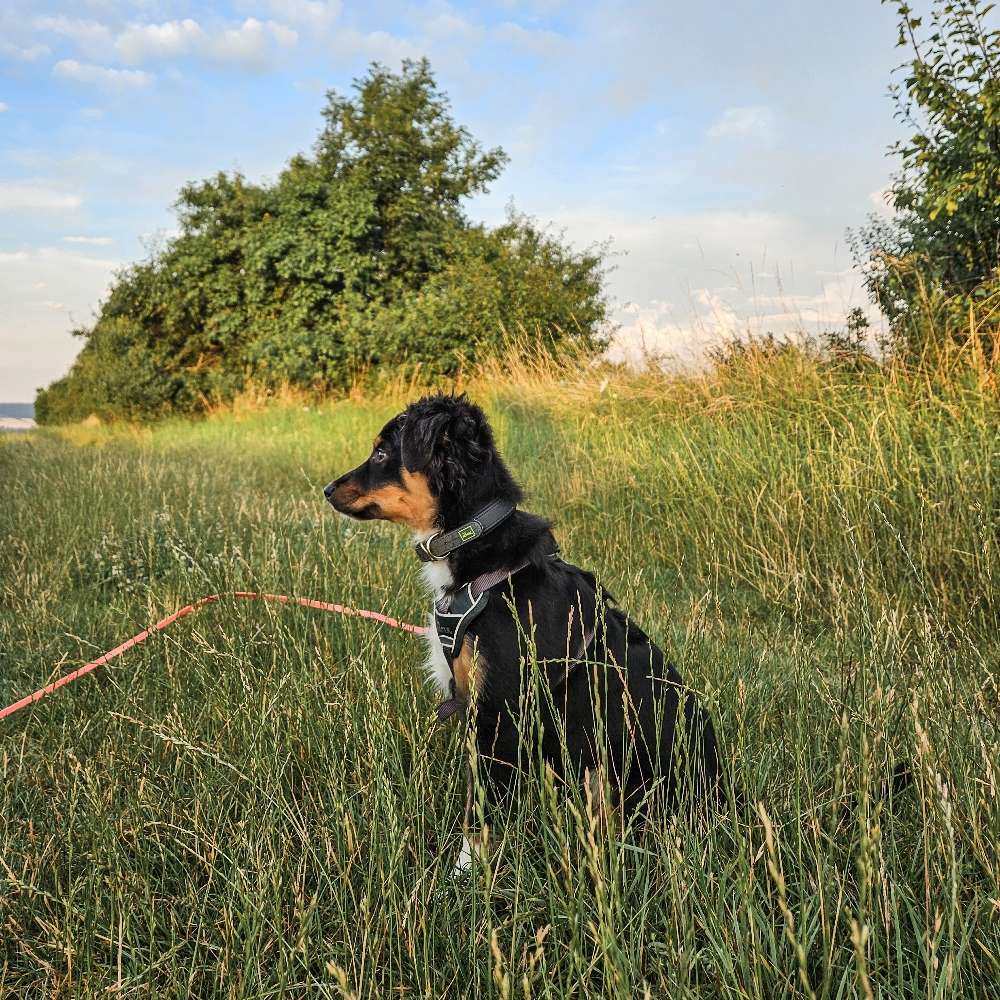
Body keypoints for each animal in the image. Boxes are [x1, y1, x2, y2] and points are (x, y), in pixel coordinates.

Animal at [324, 394, 724, 872]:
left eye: (383, 453)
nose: (326, 489)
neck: (480, 557)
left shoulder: (499, 711)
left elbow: (482, 802)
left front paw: (466, 869)